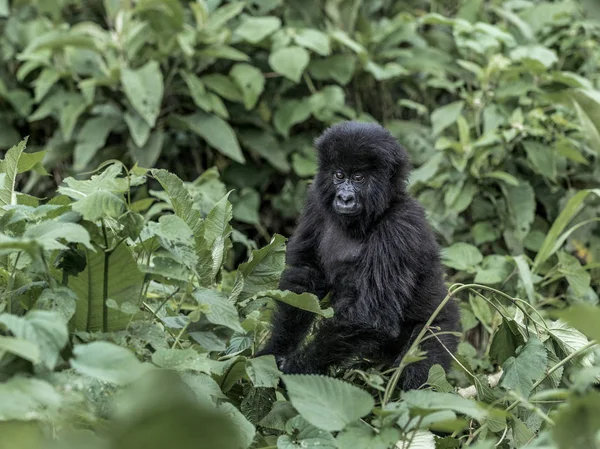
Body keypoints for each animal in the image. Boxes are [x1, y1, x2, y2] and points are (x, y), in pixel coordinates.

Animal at [256, 120, 460, 388]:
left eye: (359, 178)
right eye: (339, 175)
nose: (344, 197)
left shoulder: (401, 227)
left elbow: (370, 316)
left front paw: (295, 369)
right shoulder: (315, 201)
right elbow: (303, 281)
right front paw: (274, 351)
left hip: (440, 328)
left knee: (422, 373)